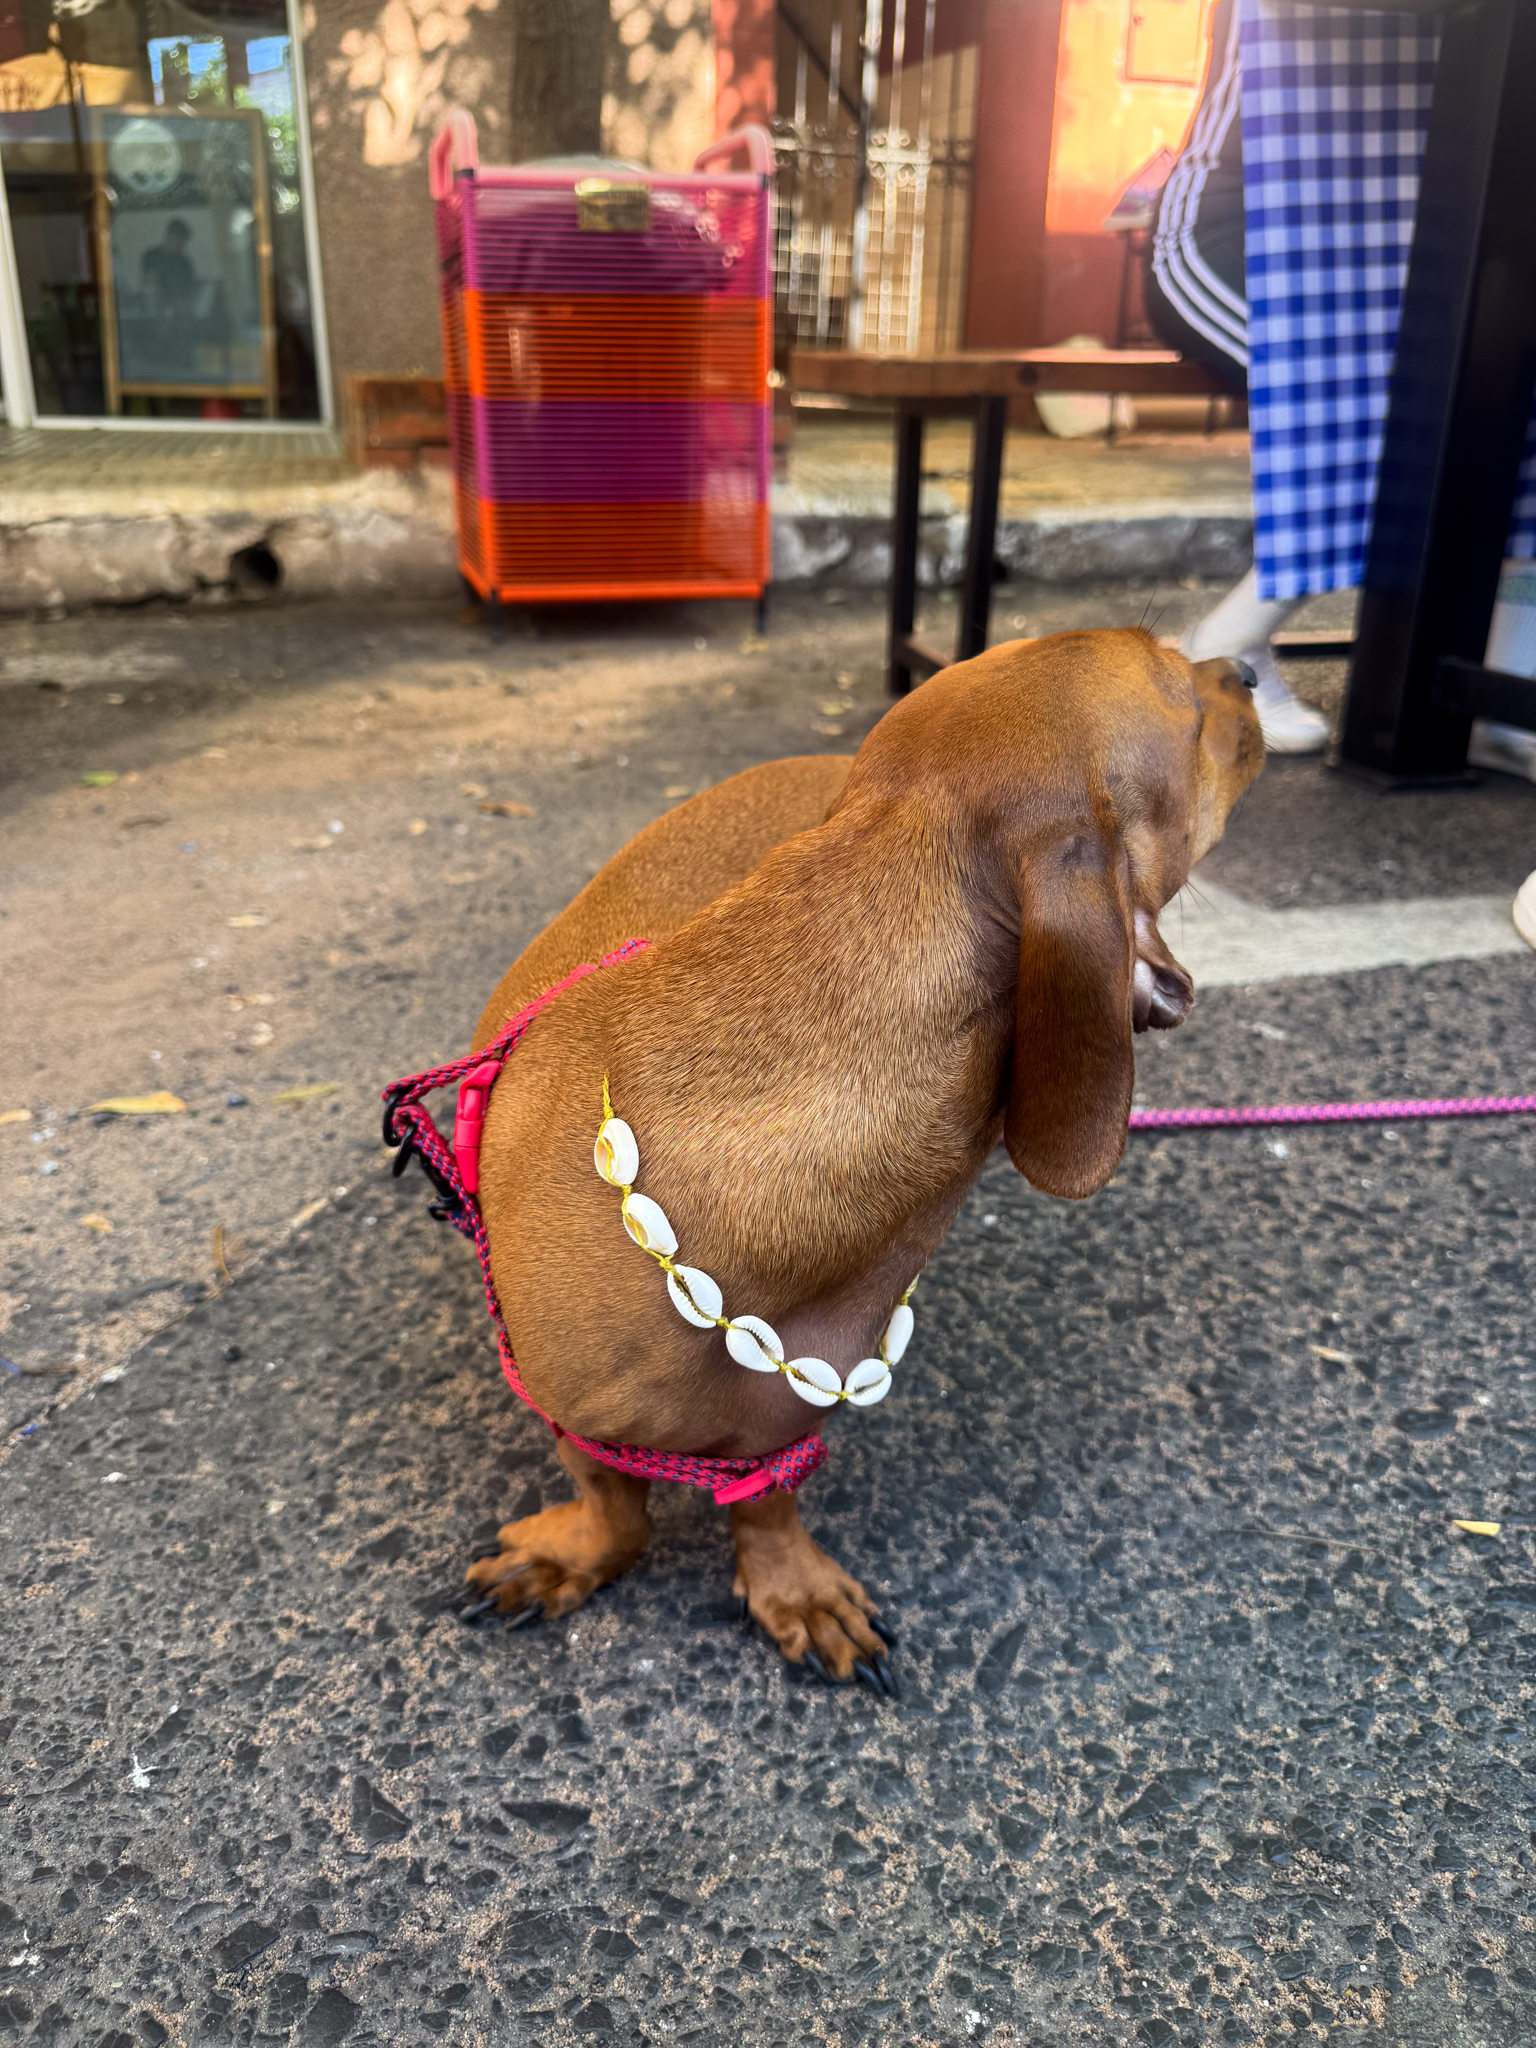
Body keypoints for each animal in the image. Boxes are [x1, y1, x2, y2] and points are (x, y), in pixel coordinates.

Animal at [456, 629, 1263, 1683]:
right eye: (1182, 693)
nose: (1251, 672)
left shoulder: (791, 1416)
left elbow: (766, 1506)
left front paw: (791, 1588)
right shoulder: (563, 1406)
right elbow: (611, 1501)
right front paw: (575, 1556)